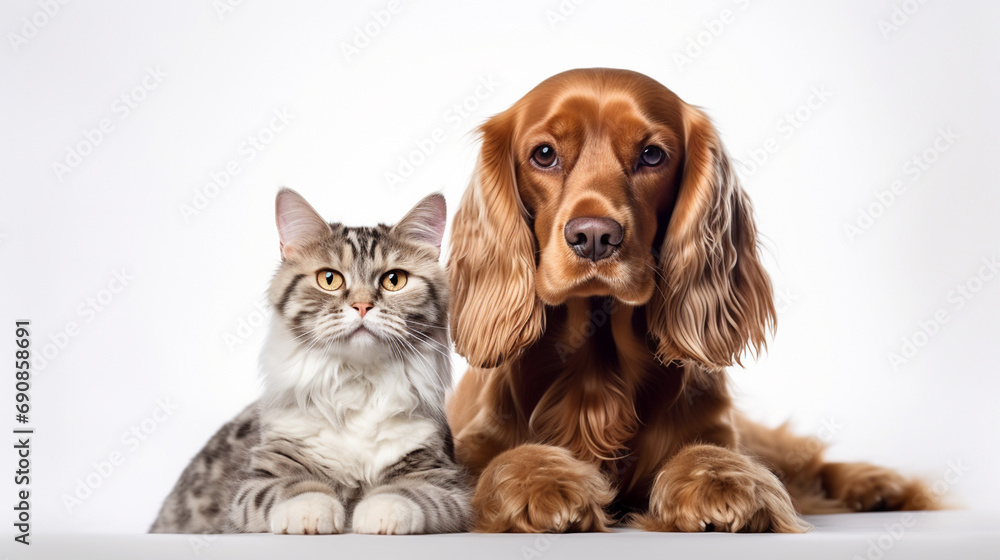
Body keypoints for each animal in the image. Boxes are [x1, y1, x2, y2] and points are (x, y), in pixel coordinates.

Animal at [148, 189, 472, 532]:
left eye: (393, 280)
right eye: (329, 279)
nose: (362, 306)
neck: (358, 380)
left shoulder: (443, 476)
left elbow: (409, 491)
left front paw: (381, 512)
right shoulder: (257, 478)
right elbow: (293, 487)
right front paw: (310, 512)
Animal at [446, 70, 936, 532]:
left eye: (652, 155)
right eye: (544, 154)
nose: (594, 237)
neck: (599, 365)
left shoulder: (717, 430)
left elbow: (713, 453)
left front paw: (722, 484)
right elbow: (499, 461)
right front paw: (541, 483)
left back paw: (875, 483)